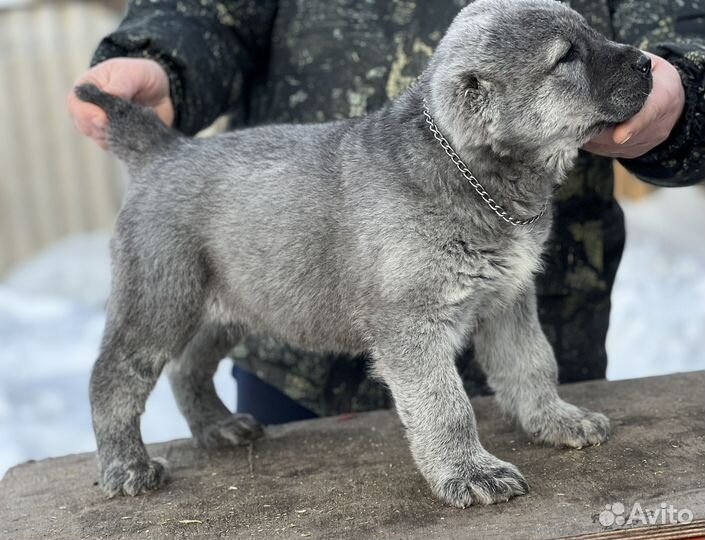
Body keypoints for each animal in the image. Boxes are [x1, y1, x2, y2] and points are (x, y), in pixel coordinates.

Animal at [75, 0, 648, 508]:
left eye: (591, 32)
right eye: (566, 57)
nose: (647, 63)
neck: (466, 170)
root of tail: (165, 151)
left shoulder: (507, 300)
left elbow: (532, 364)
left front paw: (555, 419)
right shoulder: (411, 324)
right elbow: (446, 405)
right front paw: (469, 472)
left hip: (233, 304)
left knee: (188, 366)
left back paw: (217, 426)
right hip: (160, 300)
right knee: (115, 376)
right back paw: (127, 466)